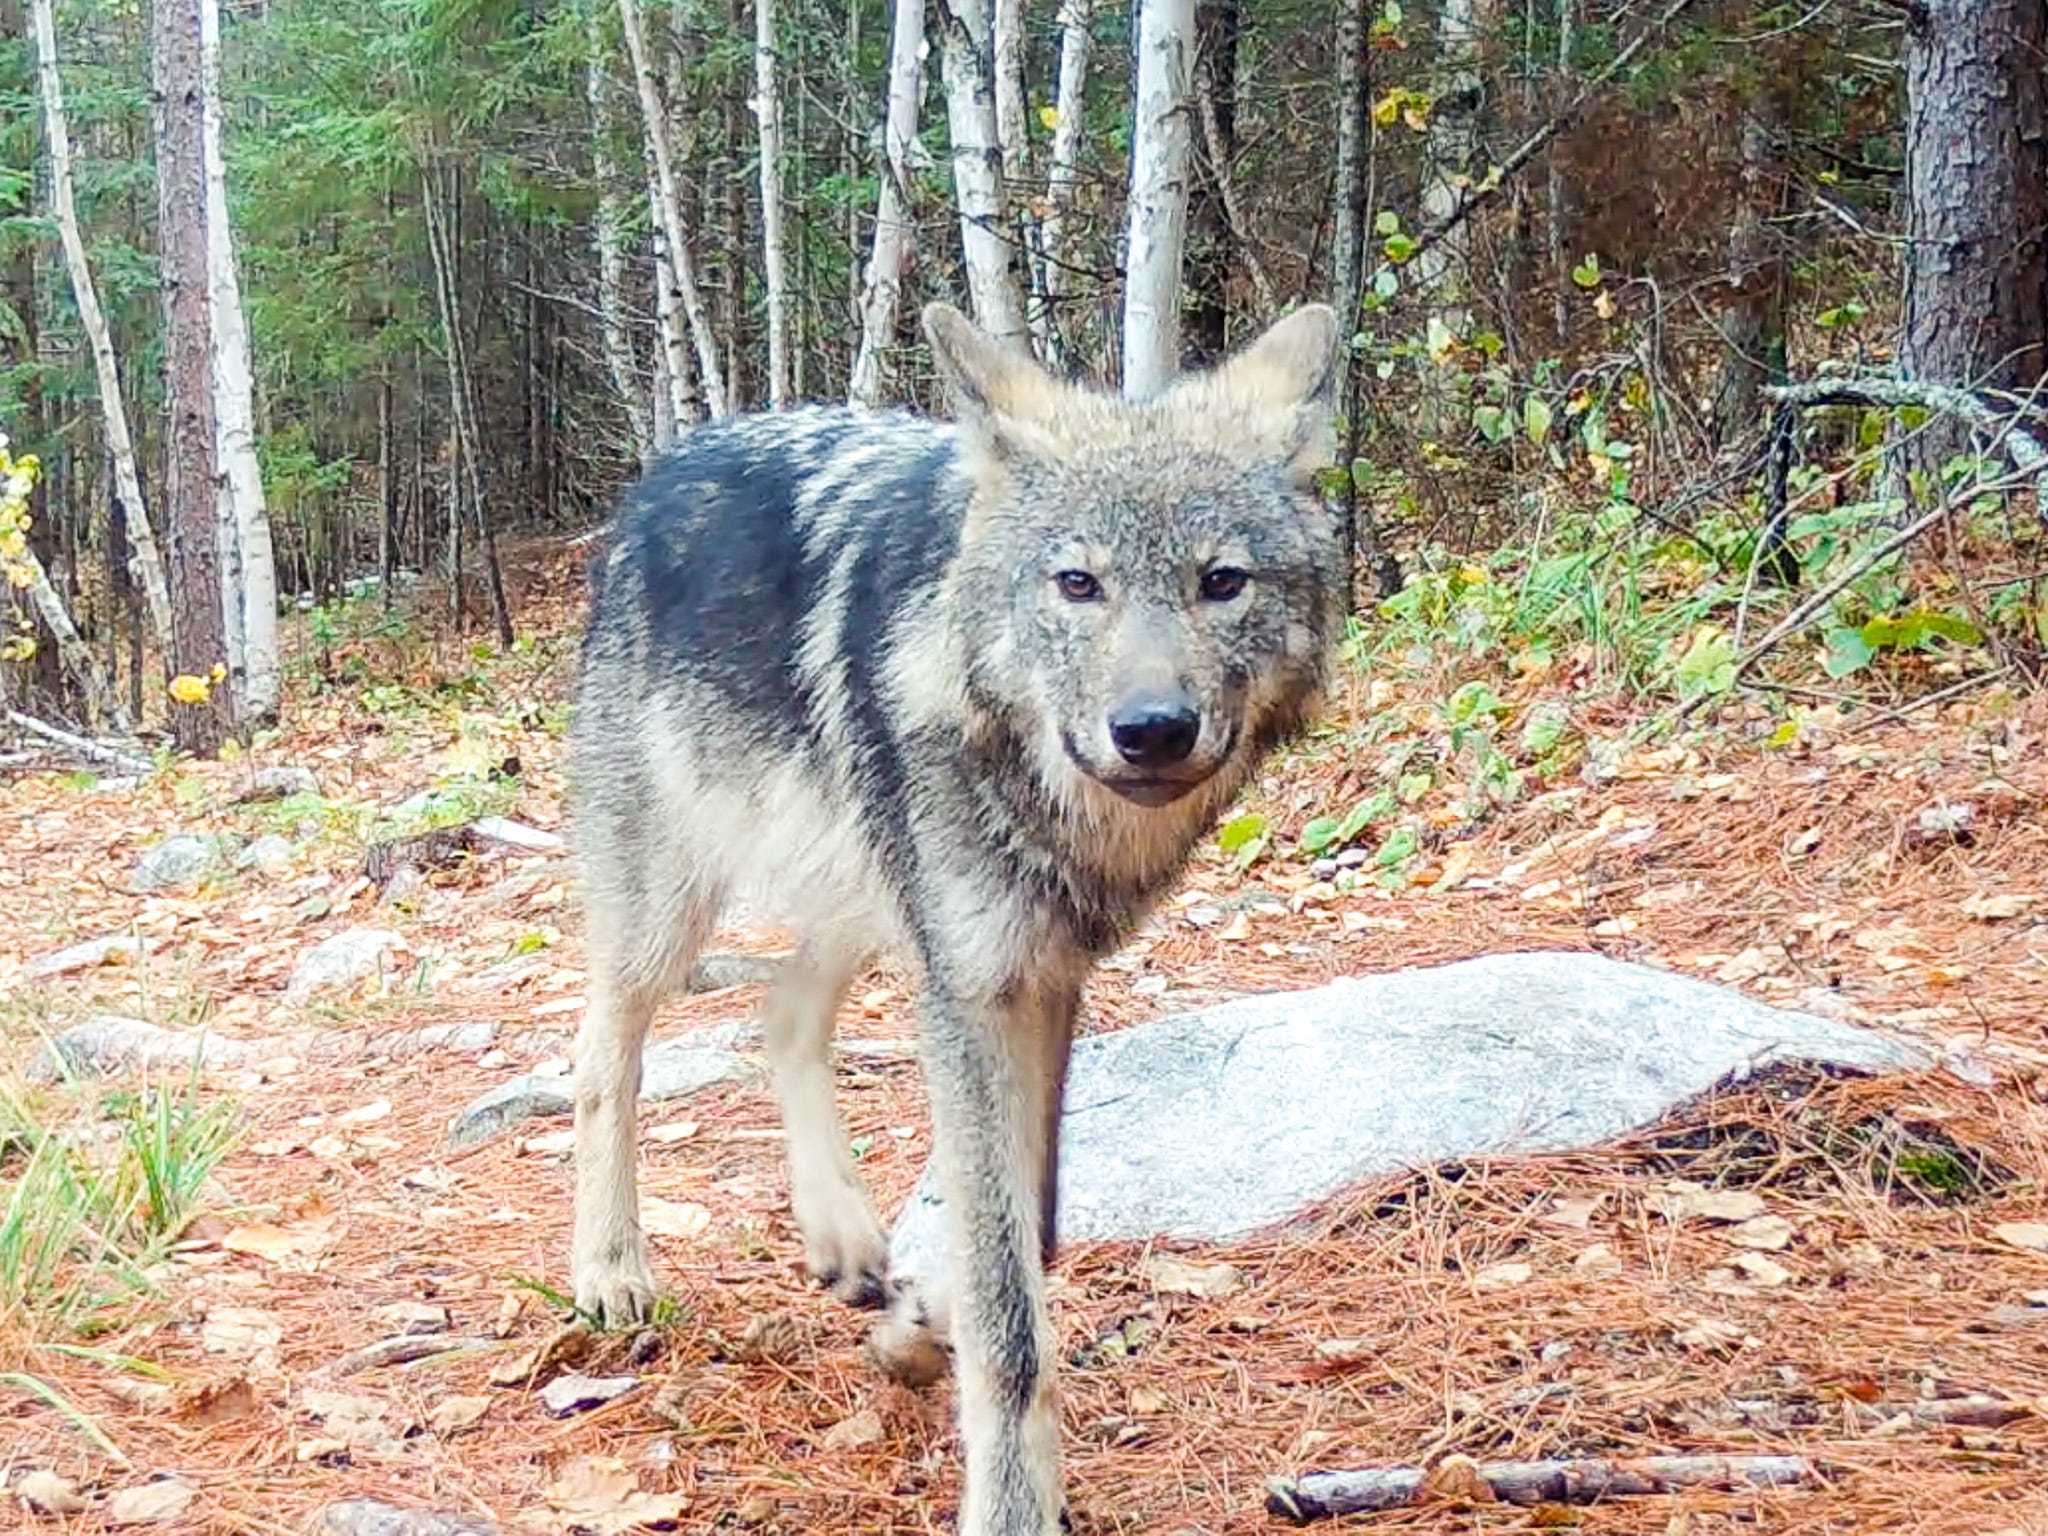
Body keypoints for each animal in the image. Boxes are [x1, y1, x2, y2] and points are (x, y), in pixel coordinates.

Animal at [569, 300, 1342, 1536]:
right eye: (1077, 584)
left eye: (1222, 580)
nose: (1152, 729)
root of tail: (664, 469)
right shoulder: (972, 992)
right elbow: (1009, 1308)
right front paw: (1014, 1503)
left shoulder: (1044, 982)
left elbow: (1031, 1229)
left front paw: (920, 1323)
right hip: (670, 914)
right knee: (603, 1058)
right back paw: (608, 1271)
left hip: (868, 896)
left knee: (780, 1015)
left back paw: (843, 1240)